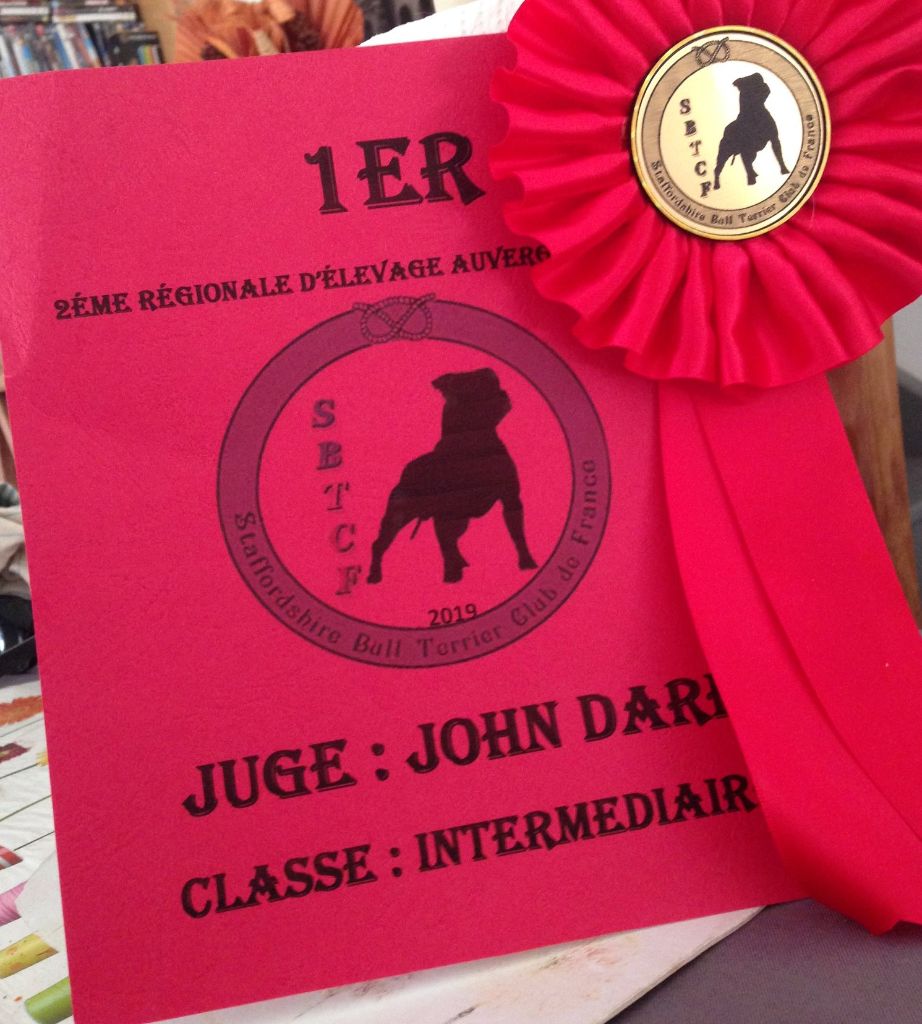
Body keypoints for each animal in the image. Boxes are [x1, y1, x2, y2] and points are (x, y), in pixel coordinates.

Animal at [366, 368, 538, 585]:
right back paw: (374, 574)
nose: (501, 392)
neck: (473, 441)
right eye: (472, 385)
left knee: (454, 538)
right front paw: (450, 575)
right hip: (397, 516)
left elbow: (518, 535)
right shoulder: (444, 511)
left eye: (494, 382)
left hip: (460, 519)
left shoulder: (511, 500)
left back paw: (460, 562)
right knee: (381, 543)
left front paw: (527, 562)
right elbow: (445, 544)